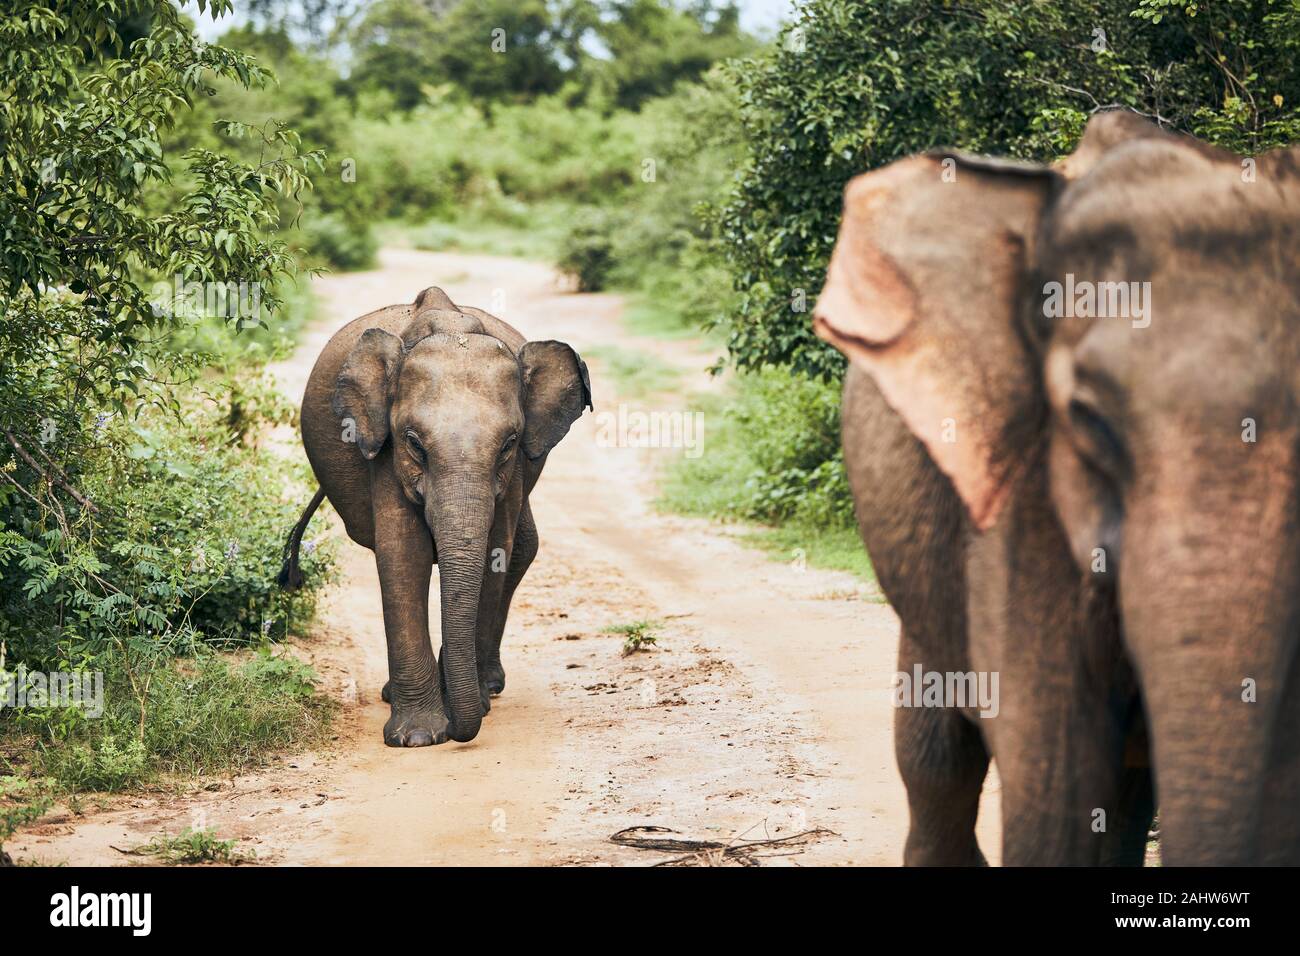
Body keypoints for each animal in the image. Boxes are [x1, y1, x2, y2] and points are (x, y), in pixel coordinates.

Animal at [284, 283, 595, 749]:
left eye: (510, 444)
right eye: (414, 443)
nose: (460, 730)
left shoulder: (514, 473)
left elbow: (496, 553)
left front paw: (468, 709)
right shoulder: (385, 450)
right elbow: (403, 554)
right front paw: (418, 737)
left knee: (523, 550)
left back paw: (489, 687)